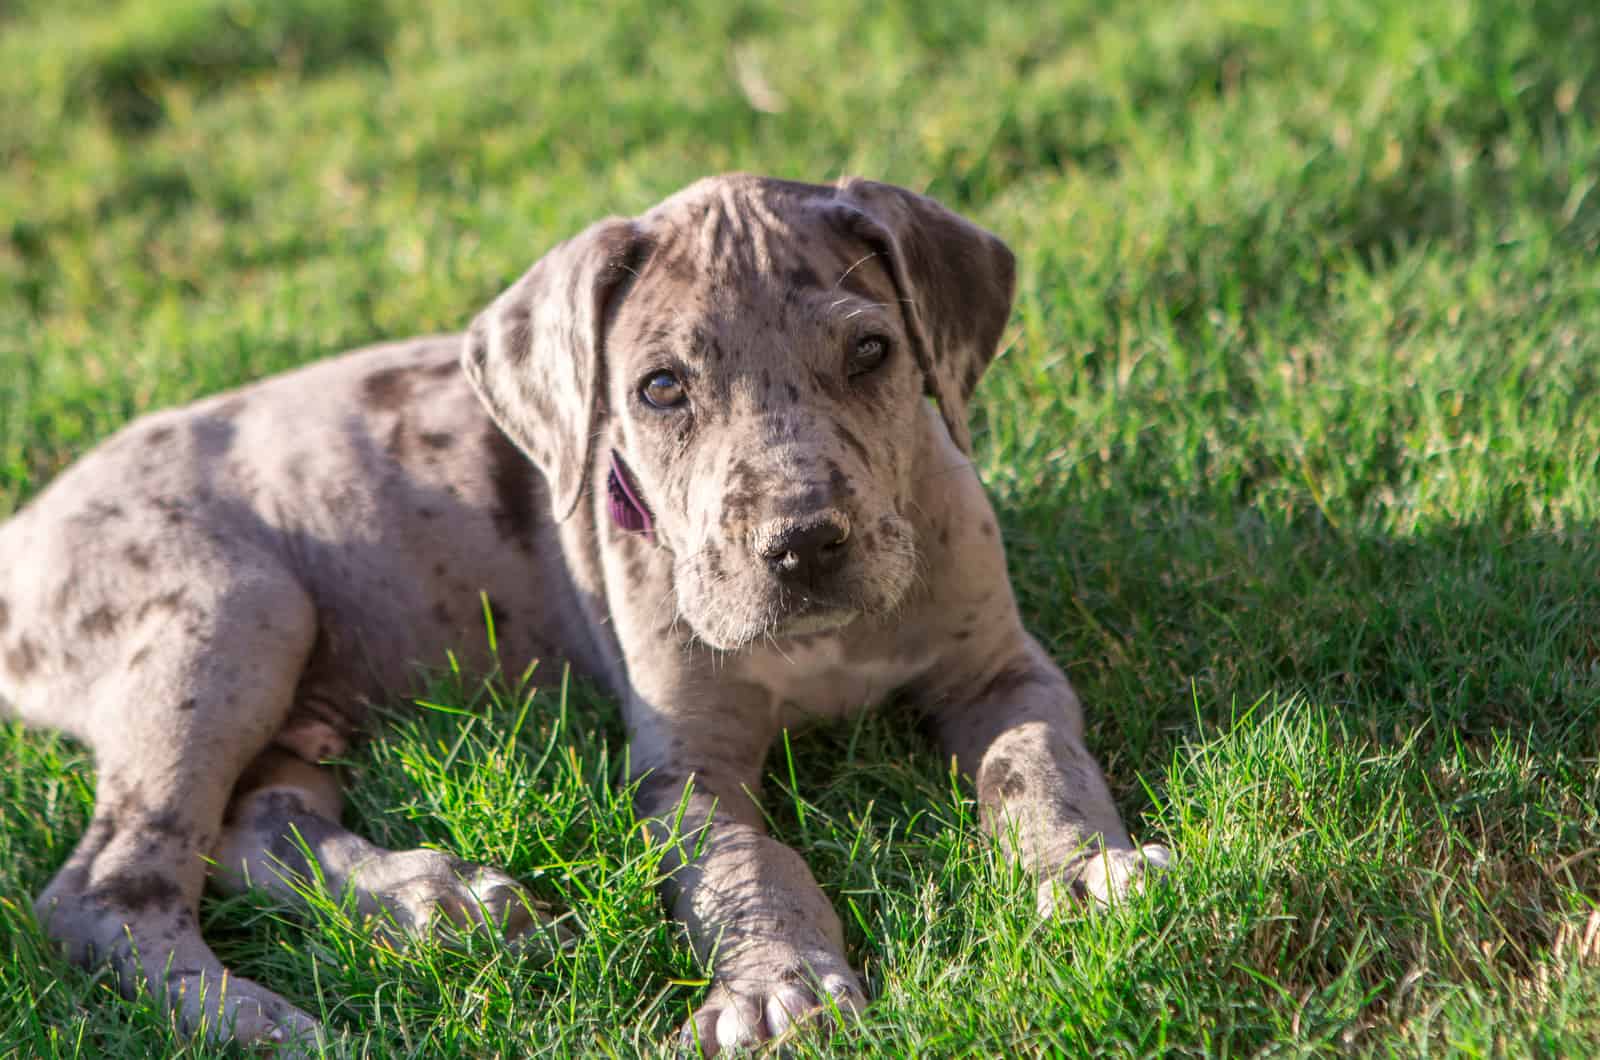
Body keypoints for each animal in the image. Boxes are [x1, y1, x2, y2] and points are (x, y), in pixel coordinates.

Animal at [3, 174, 1177, 1056]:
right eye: (660, 389)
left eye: (871, 353)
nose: (802, 547)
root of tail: (24, 529)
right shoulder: (682, 765)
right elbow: (746, 868)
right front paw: (776, 986)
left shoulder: (1003, 670)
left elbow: (1032, 763)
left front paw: (1083, 873)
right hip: (229, 612)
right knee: (107, 888)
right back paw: (263, 1021)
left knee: (252, 822)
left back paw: (438, 901)